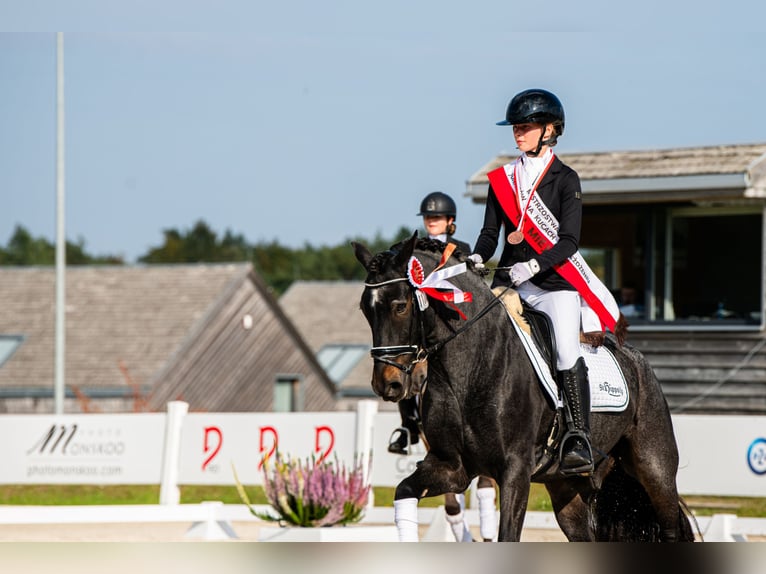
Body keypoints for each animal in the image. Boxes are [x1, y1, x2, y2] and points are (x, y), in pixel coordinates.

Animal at [354, 235, 696, 544]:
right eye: (365, 310)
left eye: (400, 306)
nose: (387, 383)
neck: (469, 367)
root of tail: (637, 360)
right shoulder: (452, 467)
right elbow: (405, 491)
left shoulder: (515, 470)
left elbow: (507, 535)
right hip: (566, 486)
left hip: (655, 470)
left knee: (670, 526)